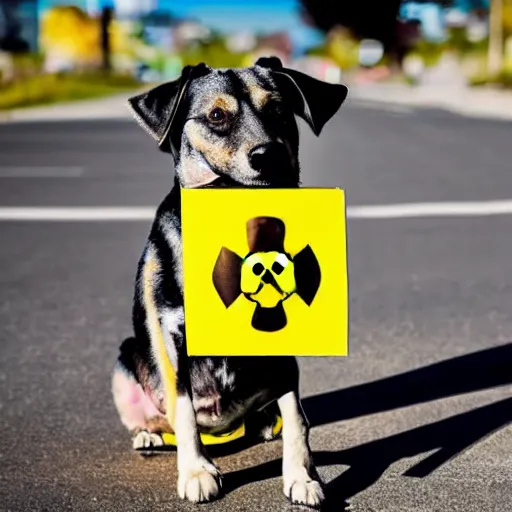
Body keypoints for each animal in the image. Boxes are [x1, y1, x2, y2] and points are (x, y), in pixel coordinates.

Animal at [111, 57, 348, 508]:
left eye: (278, 108)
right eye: (217, 116)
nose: (268, 155)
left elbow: (297, 416)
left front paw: (301, 475)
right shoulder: (177, 336)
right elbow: (183, 409)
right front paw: (196, 472)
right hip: (126, 358)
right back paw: (149, 433)